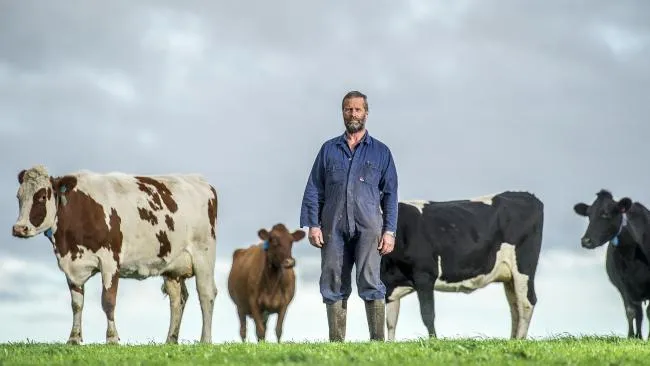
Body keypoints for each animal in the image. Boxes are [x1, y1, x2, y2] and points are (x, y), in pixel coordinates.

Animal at [11, 164, 219, 344]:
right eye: (18, 197)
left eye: (41, 196)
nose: (19, 228)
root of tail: (201, 181)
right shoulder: (71, 265)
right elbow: (77, 304)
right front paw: (73, 338)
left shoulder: (110, 261)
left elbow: (108, 301)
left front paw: (111, 338)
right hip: (172, 265)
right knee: (177, 299)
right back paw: (170, 341)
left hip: (204, 254)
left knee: (206, 294)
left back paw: (205, 340)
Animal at [378, 192, 544, 340]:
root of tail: (527, 195)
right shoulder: (391, 286)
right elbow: (391, 322)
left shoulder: (425, 275)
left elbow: (427, 315)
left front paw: (433, 341)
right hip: (509, 278)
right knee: (515, 306)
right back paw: (513, 340)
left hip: (523, 268)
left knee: (527, 302)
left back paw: (520, 340)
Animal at [572, 190, 648, 338]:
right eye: (588, 215)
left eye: (605, 213)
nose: (586, 241)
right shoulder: (623, 284)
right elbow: (631, 312)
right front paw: (631, 337)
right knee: (639, 314)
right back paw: (638, 337)